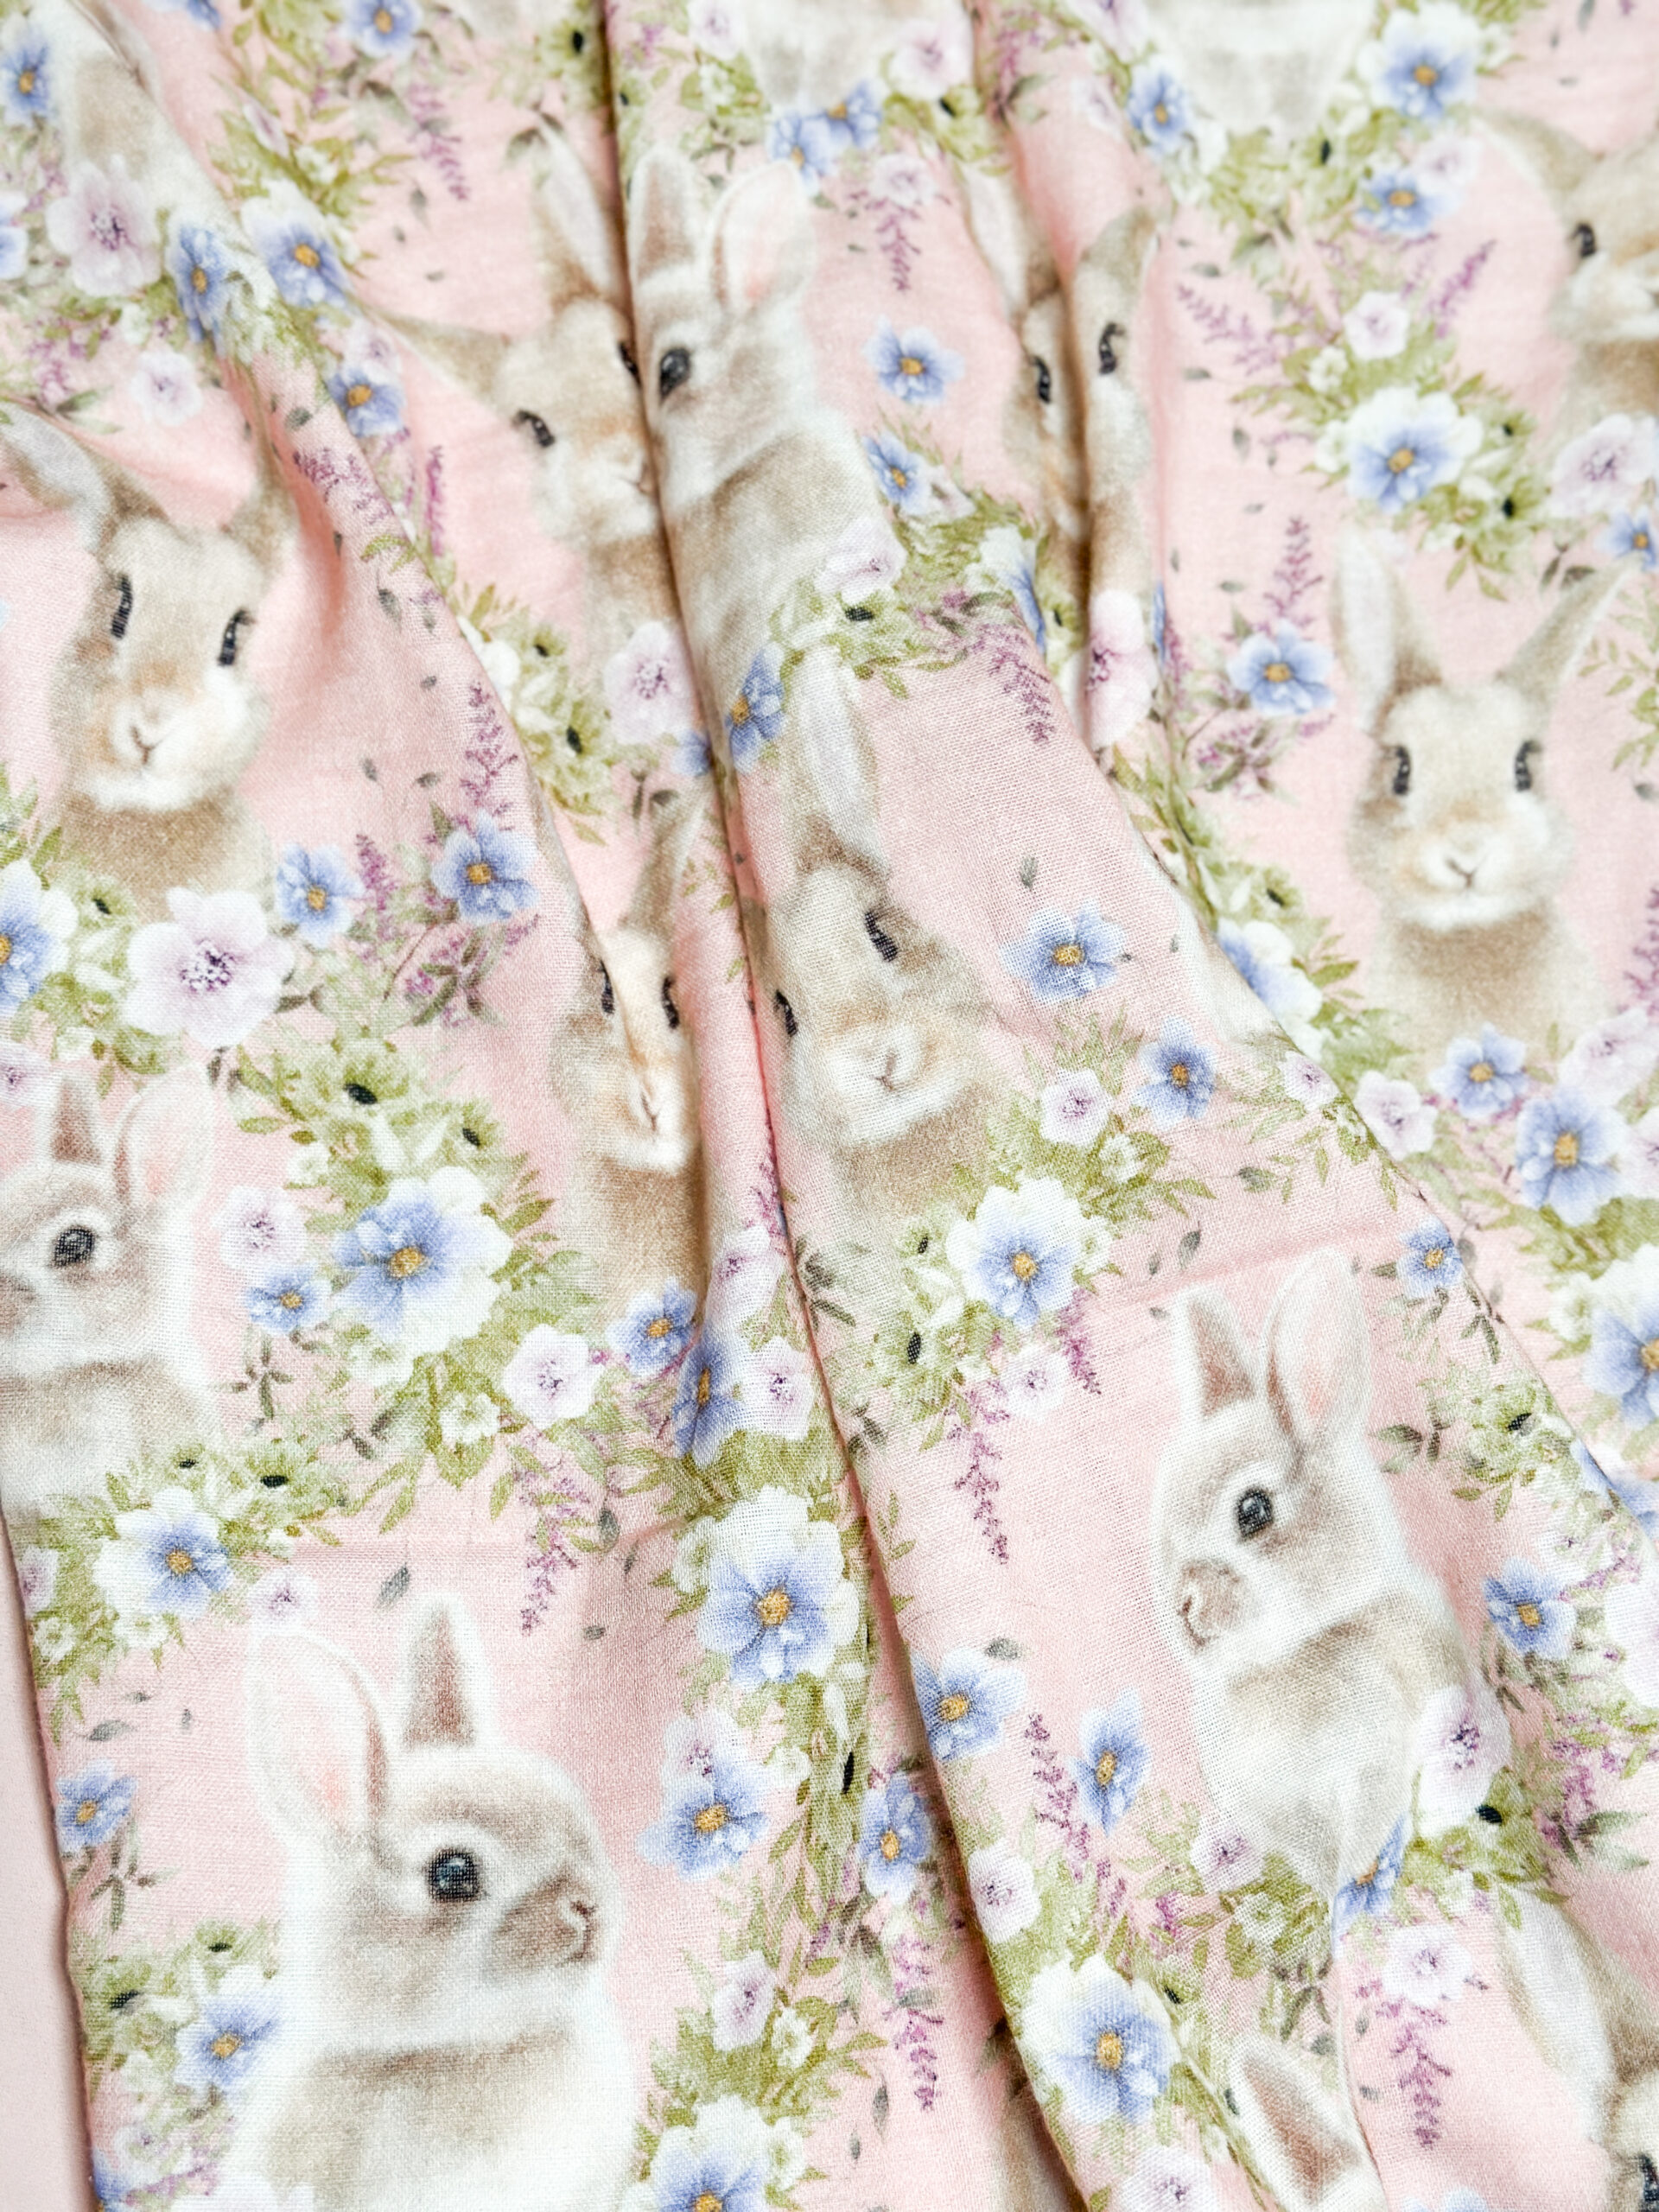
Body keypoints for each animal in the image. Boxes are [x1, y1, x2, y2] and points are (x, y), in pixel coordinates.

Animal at [1152, 1248, 1471, 1901]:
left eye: (1253, 1511)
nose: (1185, 1607)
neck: (1287, 1655)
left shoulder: (1373, 1768)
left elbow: (1363, 1848)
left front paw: (1358, 1904)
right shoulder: (1287, 1821)